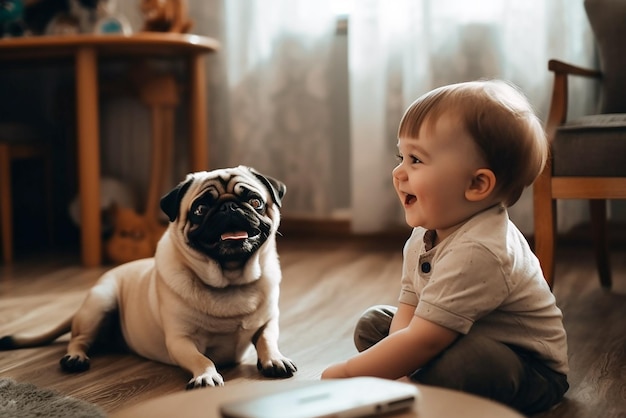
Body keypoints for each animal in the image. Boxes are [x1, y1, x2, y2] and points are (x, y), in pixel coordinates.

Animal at [0, 166, 296, 388]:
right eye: (200, 209)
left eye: (255, 202)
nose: (230, 208)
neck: (231, 278)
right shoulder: (180, 340)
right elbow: (201, 359)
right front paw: (206, 375)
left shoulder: (268, 323)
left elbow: (267, 341)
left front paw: (274, 359)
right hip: (100, 304)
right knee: (78, 339)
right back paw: (75, 357)